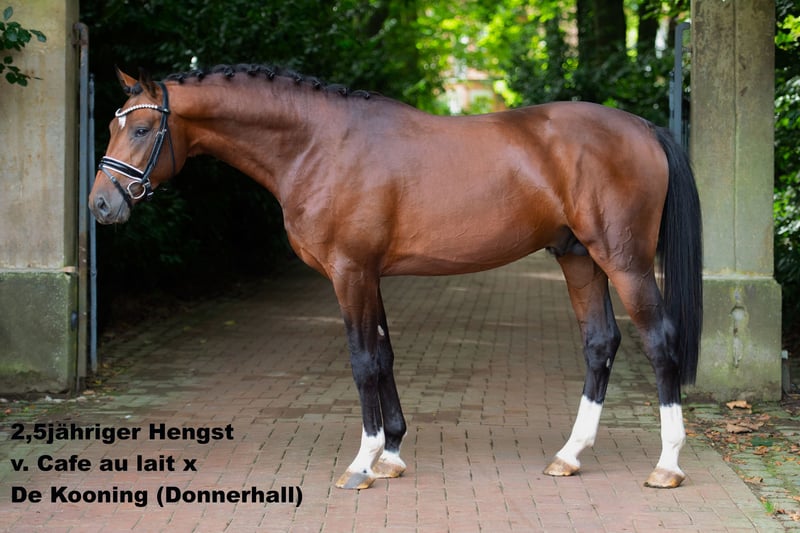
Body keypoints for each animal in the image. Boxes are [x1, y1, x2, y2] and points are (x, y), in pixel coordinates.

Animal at [89, 65, 702, 490]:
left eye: (141, 128)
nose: (100, 205)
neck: (318, 144)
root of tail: (642, 127)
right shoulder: (370, 275)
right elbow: (383, 356)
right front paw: (392, 454)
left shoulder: (350, 273)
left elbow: (362, 362)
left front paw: (362, 463)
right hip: (578, 258)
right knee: (600, 342)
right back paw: (569, 455)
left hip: (623, 261)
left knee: (660, 342)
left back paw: (667, 464)